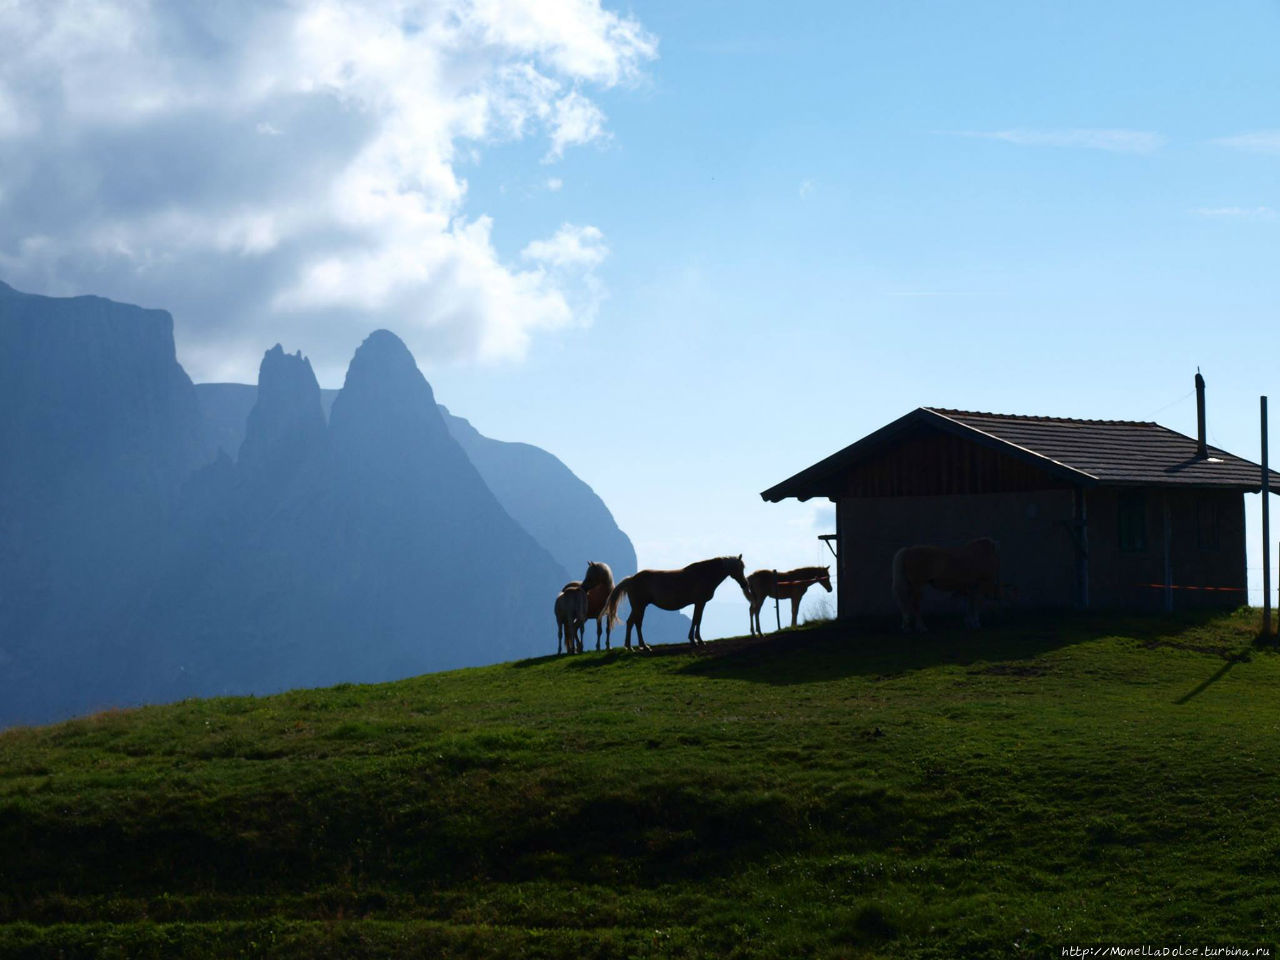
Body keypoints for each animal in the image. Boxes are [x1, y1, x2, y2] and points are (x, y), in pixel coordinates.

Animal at [606, 555, 752, 655]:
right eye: (740, 567)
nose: (745, 583)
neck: (704, 574)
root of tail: (631, 579)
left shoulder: (700, 603)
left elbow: (697, 620)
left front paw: (696, 640)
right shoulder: (699, 602)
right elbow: (696, 620)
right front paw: (696, 640)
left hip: (639, 607)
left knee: (632, 623)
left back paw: (633, 646)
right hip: (639, 606)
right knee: (636, 623)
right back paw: (640, 646)